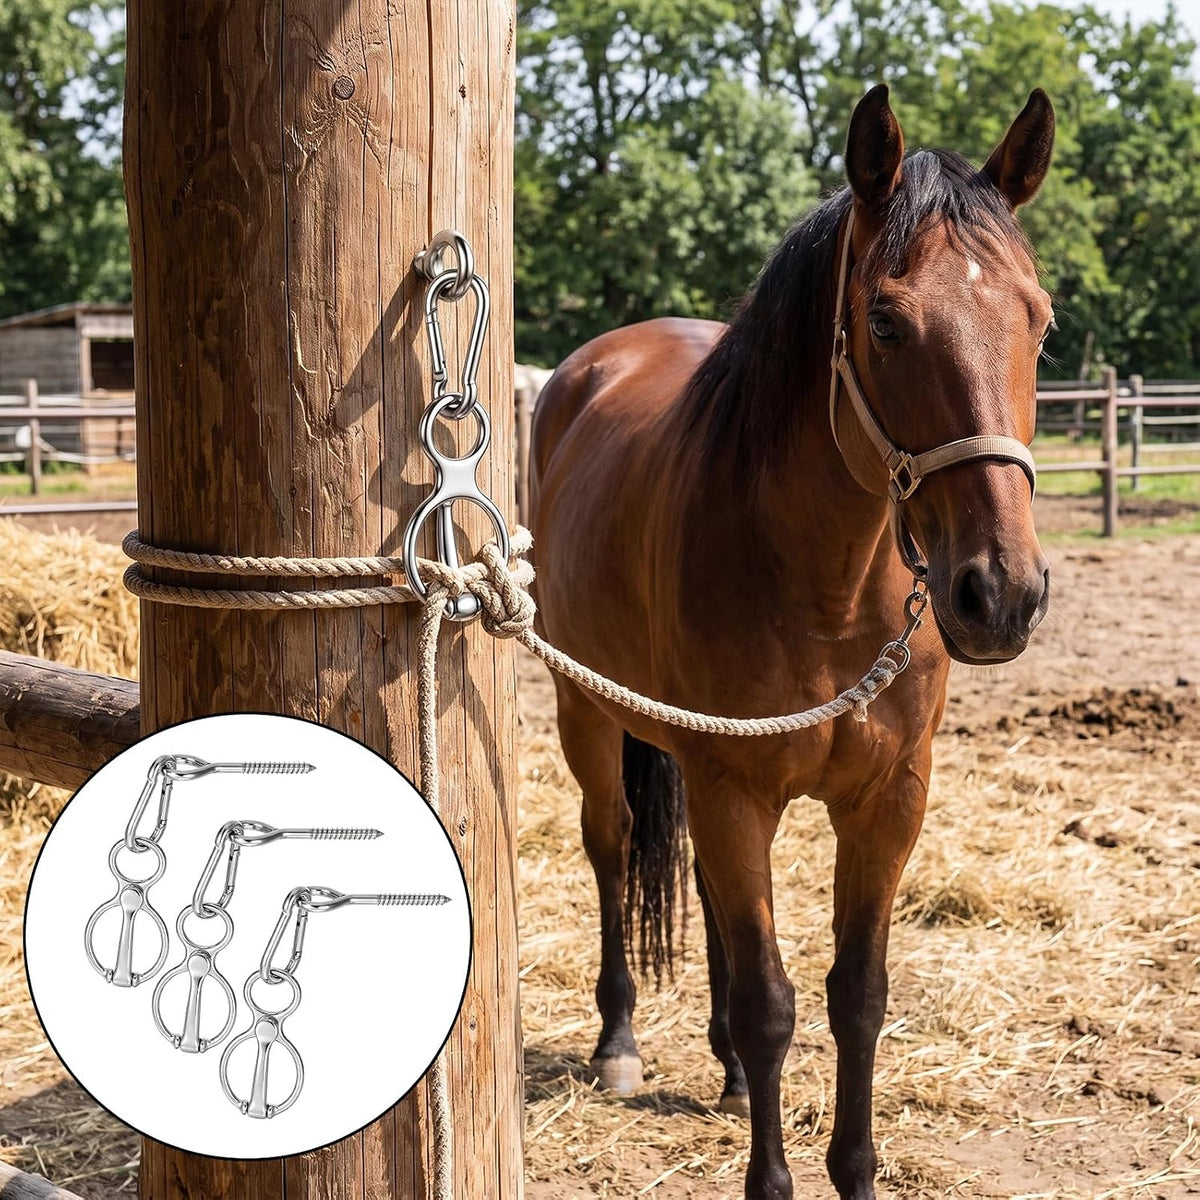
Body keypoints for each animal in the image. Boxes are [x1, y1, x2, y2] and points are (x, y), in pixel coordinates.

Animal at [529, 84, 1055, 1199]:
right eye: (887, 322)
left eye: (1039, 320)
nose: (1002, 594)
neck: (827, 587)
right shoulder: (733, 789)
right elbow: (776, 1005)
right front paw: (771, 1178)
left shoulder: (887, 801)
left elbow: (857, 994)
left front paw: (853, 1171)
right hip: (588, 715)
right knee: (614, 845)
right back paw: (619, 1044)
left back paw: (724, 1066)